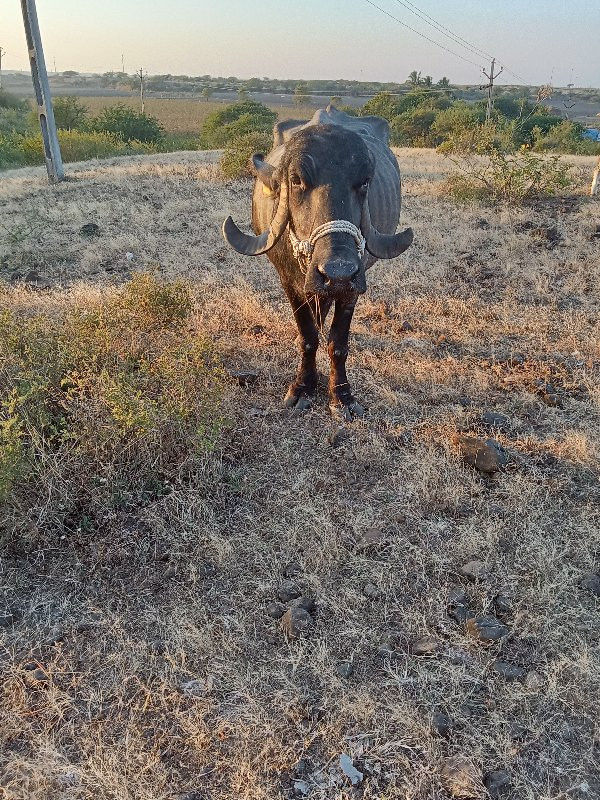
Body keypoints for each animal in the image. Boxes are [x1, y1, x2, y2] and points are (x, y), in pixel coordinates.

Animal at [223, 104, 414, 424]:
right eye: (297, 180)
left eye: (364, 182)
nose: (337, 273)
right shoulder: (290, 283)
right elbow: (309, 335)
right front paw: (302, 387)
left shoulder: (352, 288)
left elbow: (338, 342)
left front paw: (342, 396)